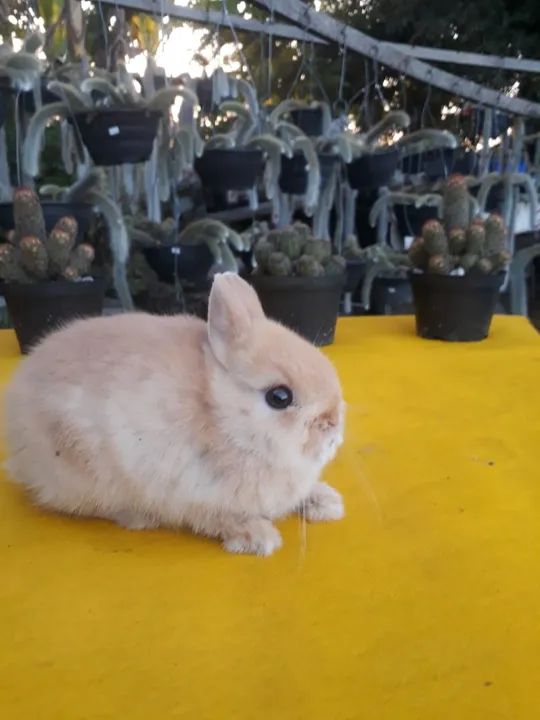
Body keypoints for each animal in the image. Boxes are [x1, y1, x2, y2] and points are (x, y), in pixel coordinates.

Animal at [3, 273, 345, 556]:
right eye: (279, 397)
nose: (334, 428)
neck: (222, 419)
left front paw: (328, 503)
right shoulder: (196, 496)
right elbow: (222, 518)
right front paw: (259, 538)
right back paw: (138, 518)